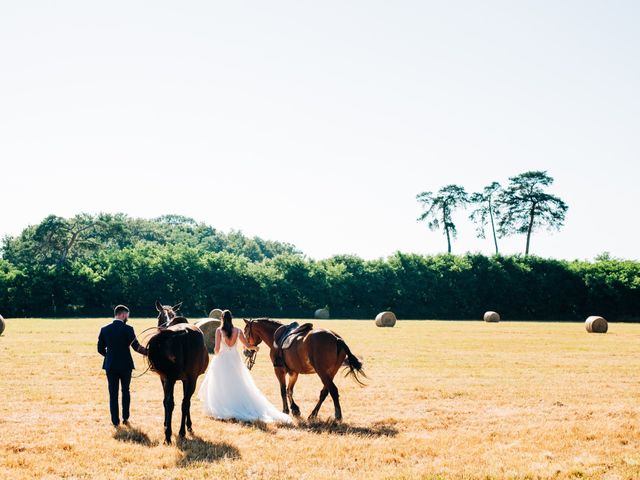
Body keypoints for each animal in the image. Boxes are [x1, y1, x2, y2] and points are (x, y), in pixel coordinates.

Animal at [147, 302, 208, 444]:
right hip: (187, 378)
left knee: (172, 402)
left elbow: (167, 400)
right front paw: (187, 425)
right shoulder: (186, 378)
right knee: (183, 403)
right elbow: (185, 401)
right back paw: (180, 432)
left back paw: (170, 435)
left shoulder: (165, 378)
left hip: (171, 377)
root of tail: (182, 333)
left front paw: (167, 424)